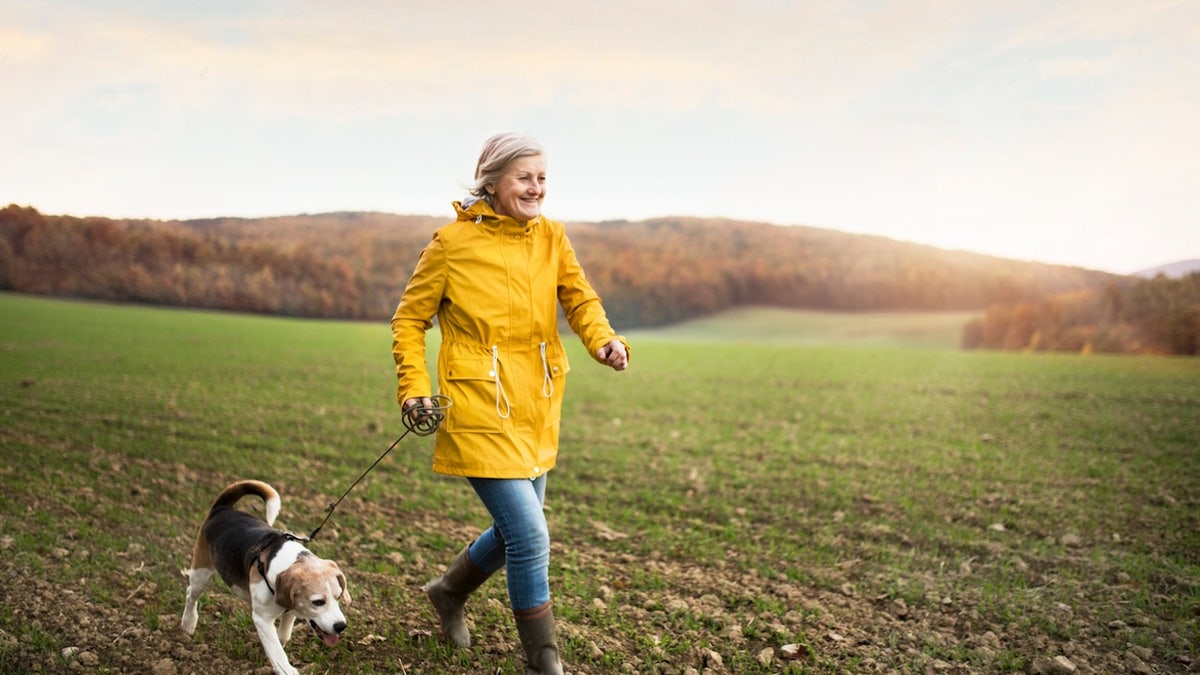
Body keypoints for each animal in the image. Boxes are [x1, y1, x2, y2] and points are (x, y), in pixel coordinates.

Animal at [180, 478, 350, 672]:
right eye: (318, 602)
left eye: (338, 597)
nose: (341, 626)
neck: (288, 562)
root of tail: (222, 508)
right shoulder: (262, 619)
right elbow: (276, 649)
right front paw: (286, 669)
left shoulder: (290, 608)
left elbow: (283, 636)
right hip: (202, 572)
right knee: (191, 595)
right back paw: (188, 623)